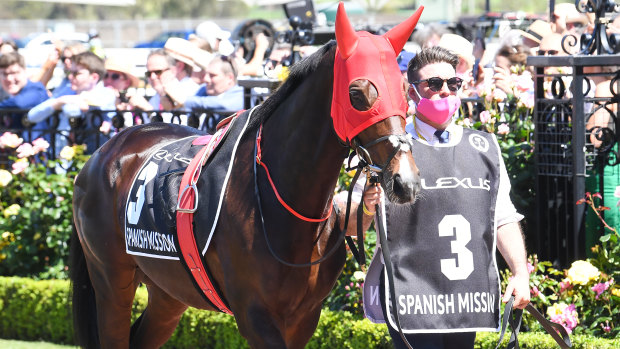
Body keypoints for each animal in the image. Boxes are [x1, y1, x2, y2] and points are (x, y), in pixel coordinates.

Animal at [70, 3, 424, 348]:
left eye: (405, 89)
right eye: (357, 94)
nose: (404, 181)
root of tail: (101, 154)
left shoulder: (304, 317)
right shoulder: (255, 315)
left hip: (168, 290)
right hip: (111, 280)